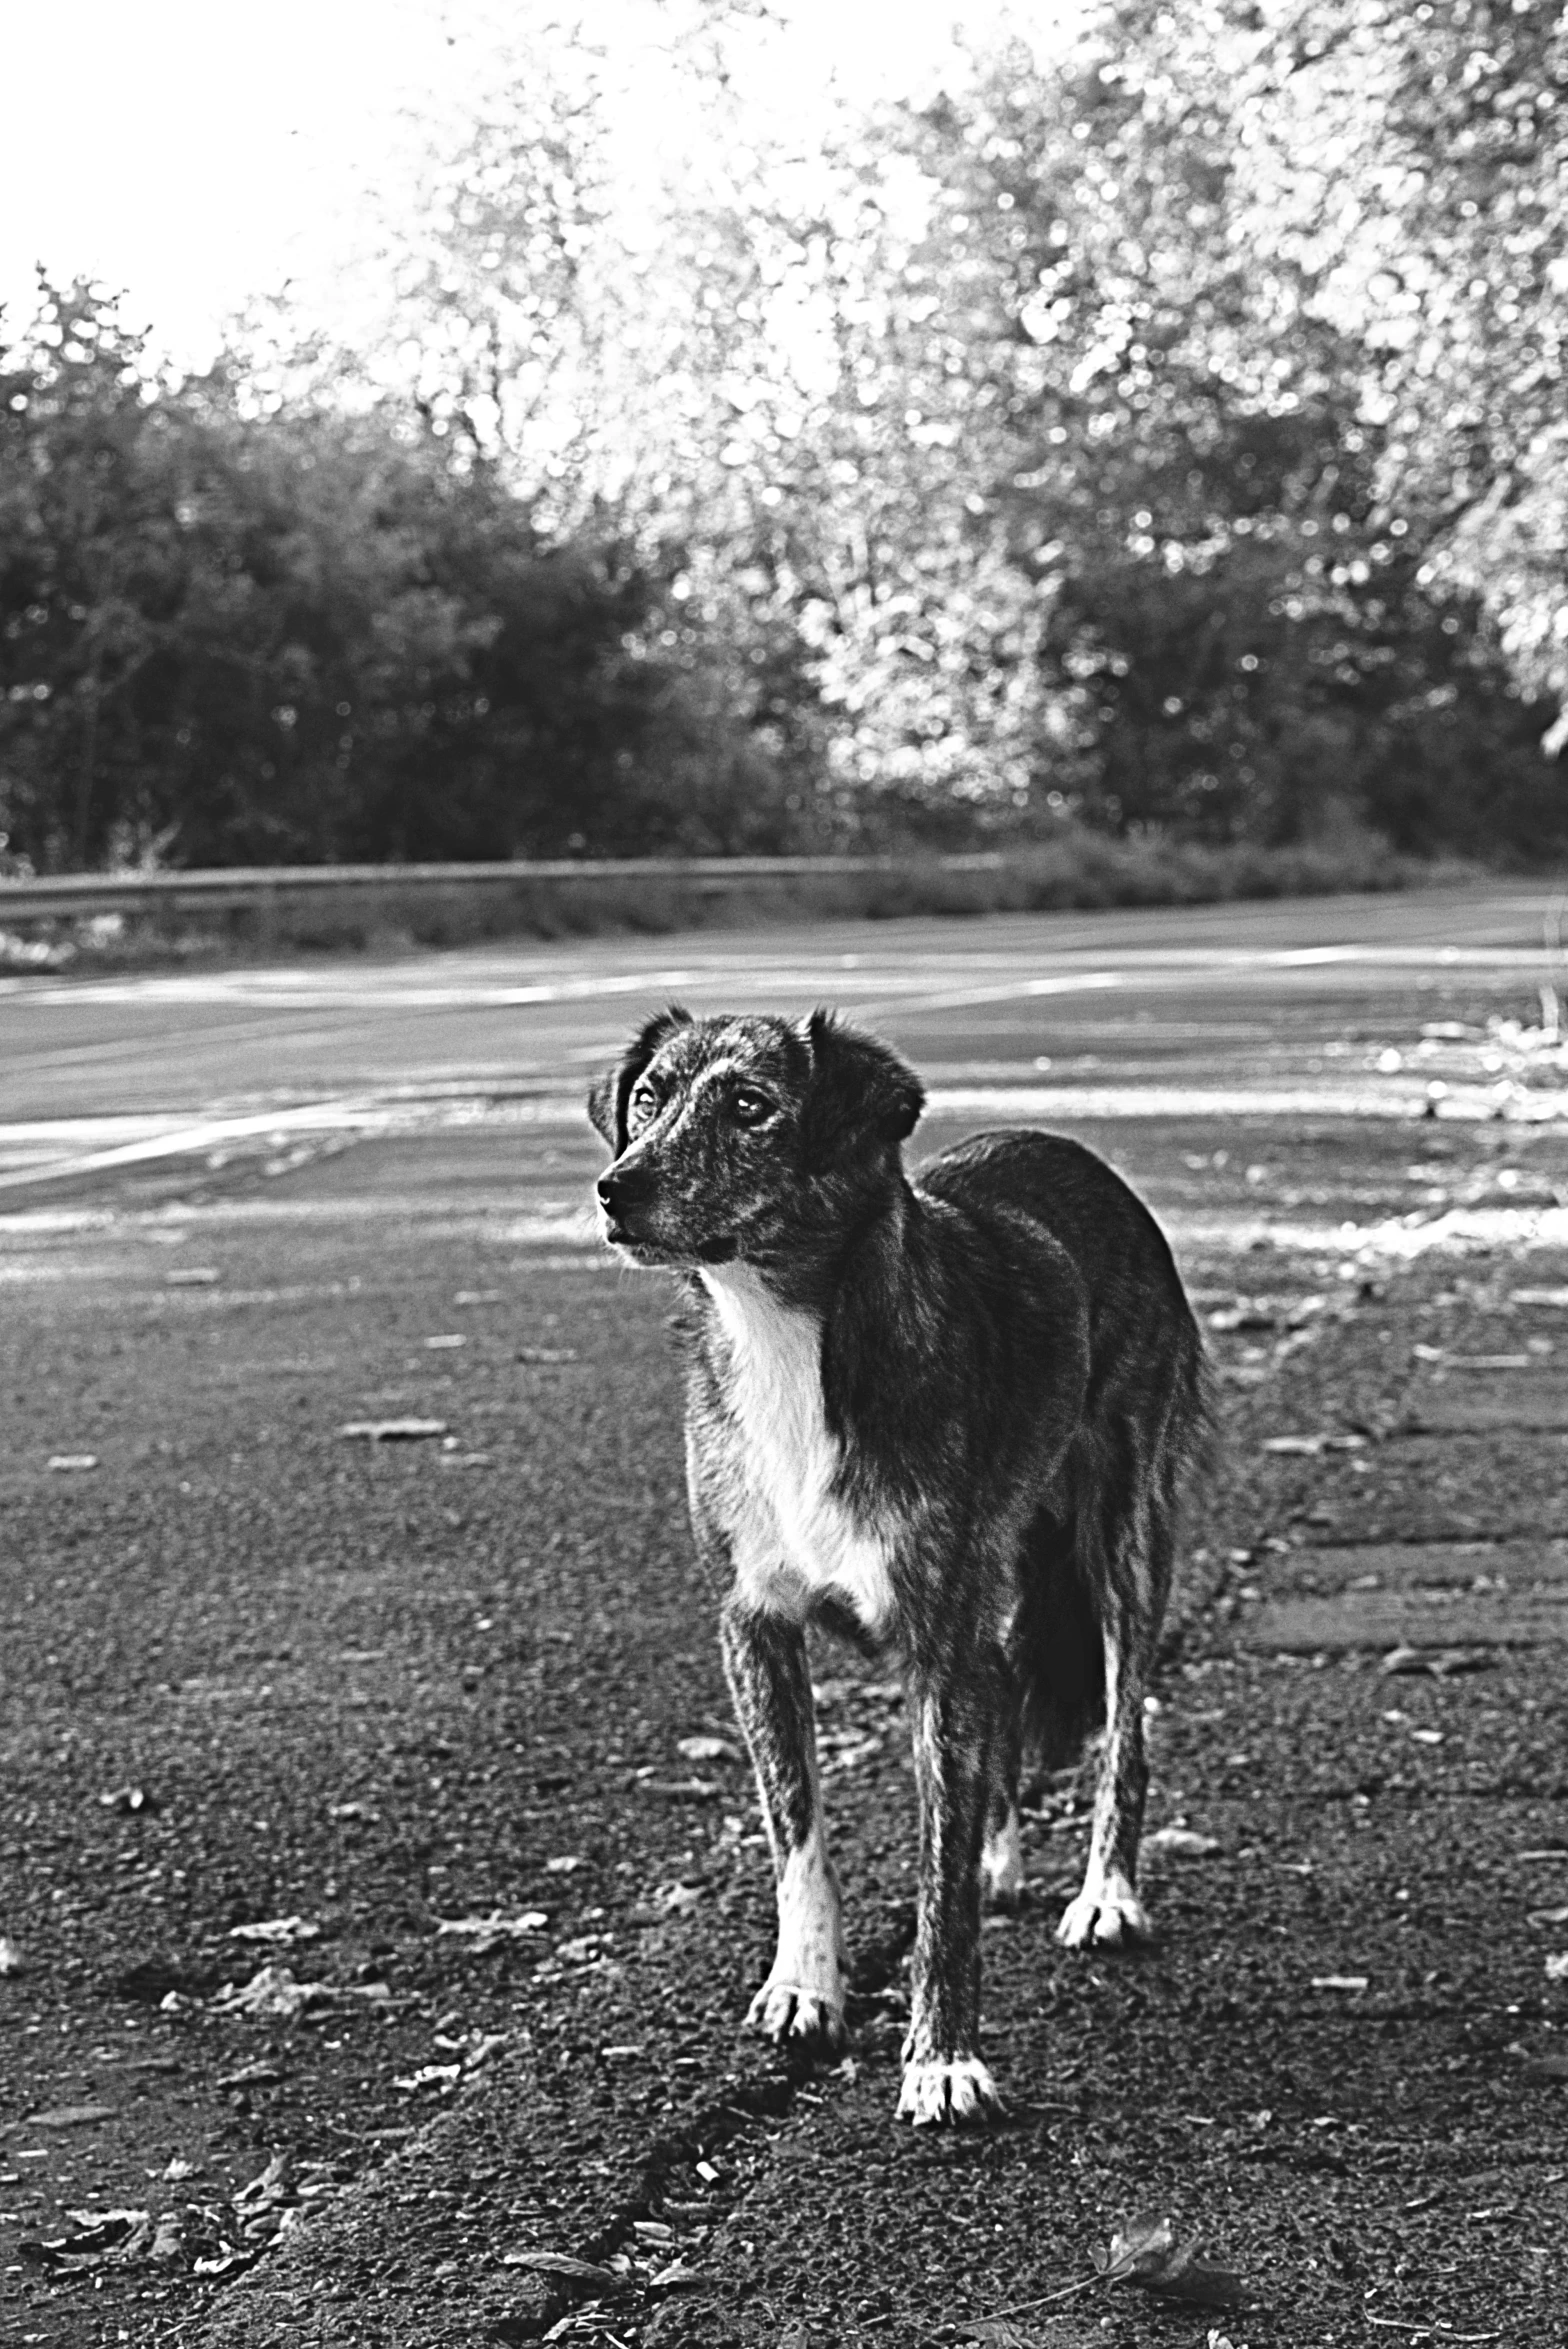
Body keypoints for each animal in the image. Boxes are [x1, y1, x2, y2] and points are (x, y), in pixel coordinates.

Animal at [586, 1010, 1211, 2132]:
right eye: (649, 1097)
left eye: (750, 1105)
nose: (617, 1187)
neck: (785, 1335)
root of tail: (1074, 1152)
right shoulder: (753, 1626)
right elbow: (795, 1832)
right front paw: (804, 1990)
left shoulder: (937, 1643)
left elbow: (937, 1887)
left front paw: (942, 2061)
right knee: (1011, 1689)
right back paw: (1008, 1859)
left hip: (1124, 1536)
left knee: (1124, 1733)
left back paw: (1105, 1895)